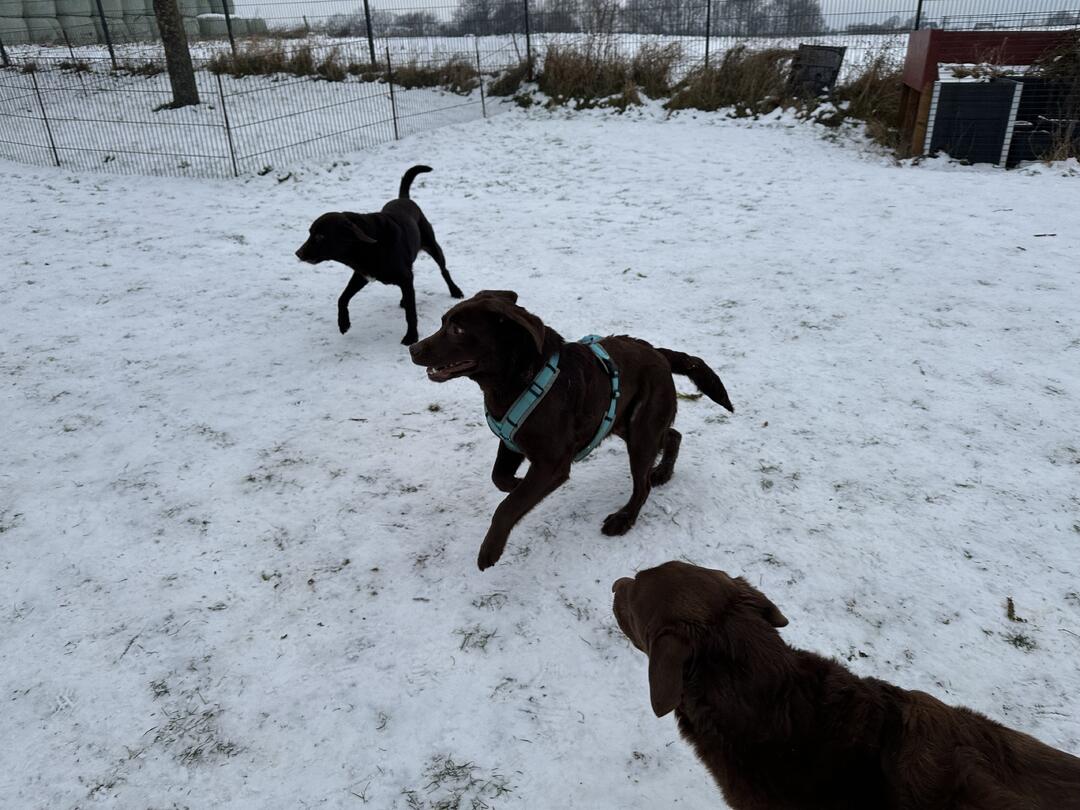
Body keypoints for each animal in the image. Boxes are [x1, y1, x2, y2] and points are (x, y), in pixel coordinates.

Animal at [295, 165, 463, 345]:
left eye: (320, 236)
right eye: (310, 233)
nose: (298, 253)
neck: (368, 247)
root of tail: (403, 198)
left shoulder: (402, 277)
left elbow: (411, 314)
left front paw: (411, 336)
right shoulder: (363, 275)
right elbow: (342, 298)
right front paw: (343, 323)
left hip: (433, 246)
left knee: (444, 270)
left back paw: (455, 290)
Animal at [409, 291, 734, 571]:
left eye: (457, 330)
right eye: (443, 322)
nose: (413, 349)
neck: (518, 381)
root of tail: (657, 351)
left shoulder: (553, 463)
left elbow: (507, 506)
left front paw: (491, 549)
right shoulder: (512, 442)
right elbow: (499, 479)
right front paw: (517, 483)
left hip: (641, 433)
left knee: (642, 486)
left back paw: (623, 519)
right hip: (623, 423)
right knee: (673, 435)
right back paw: (663, 472)